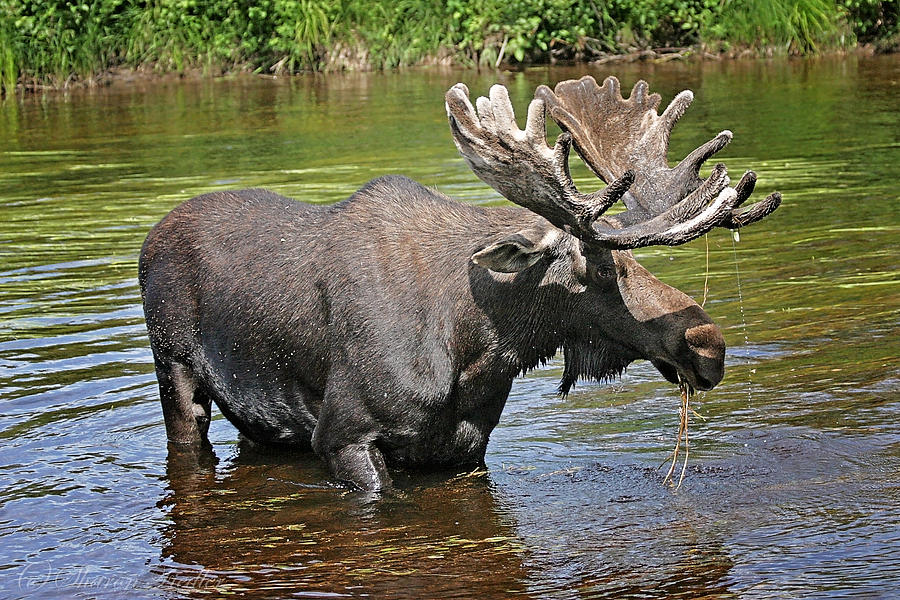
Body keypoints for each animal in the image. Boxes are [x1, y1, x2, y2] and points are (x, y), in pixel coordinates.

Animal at [139, 75, 780, 490]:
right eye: (600, 265)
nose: (710, 346)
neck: (479, 347)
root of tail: (150, 237)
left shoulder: (466, 446)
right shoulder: (342, 435)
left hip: (259, 412)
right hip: (174, 366)